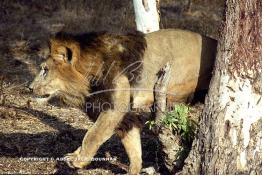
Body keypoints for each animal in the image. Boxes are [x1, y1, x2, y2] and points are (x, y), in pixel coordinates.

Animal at [29, 29, 217, 174]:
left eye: (45, 70)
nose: (29, 88)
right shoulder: (125, 116)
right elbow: (133, 146)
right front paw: (134, 170)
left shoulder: (115, 108)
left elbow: (92, 134)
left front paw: (79, 160)